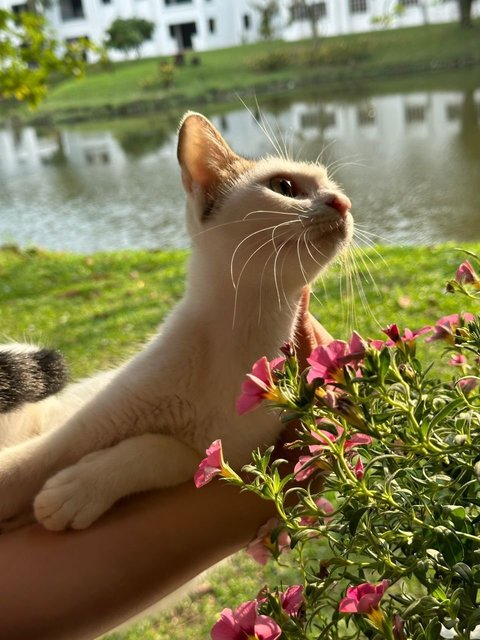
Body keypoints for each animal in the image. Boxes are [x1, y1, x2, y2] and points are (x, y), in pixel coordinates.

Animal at [0, 112, 352, 532]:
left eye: (334, 188)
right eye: (284, 186)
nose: (343, 202)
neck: (239, 329)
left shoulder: (222, 455)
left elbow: (157, 452)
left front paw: (75, 490)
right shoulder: (104, 414)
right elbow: (43, 454)